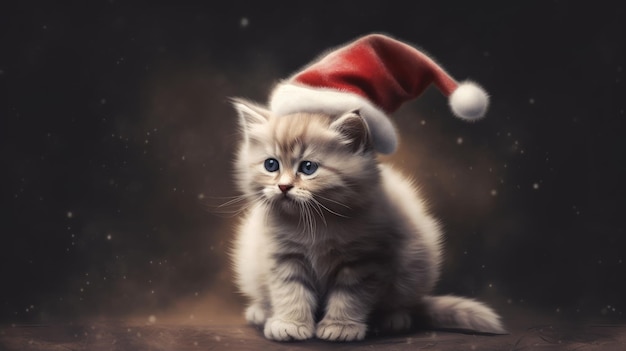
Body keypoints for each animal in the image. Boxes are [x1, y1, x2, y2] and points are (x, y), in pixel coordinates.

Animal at [229, 99, 502, 344]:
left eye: (308, 168)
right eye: (271, 165)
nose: (283, 187)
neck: (314, 224)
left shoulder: (365, 260)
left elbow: (350, 296)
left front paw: (340, 327)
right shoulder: (284, 256)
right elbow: (290, 291)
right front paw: (290, 324)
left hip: (415, 267)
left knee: (405, 303)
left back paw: (393, 319)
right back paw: (261, 312)